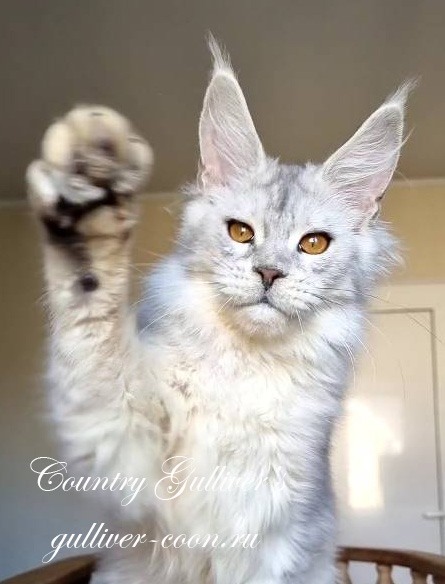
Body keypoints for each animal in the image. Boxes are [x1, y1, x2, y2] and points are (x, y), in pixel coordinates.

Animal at [27, 40, 408, 584]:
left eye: (314, 243)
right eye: (241, 233)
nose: (269, 273)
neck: (246, 367)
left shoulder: (280, 537)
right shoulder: (126, 451)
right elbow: (94, 332)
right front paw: (89, 196)